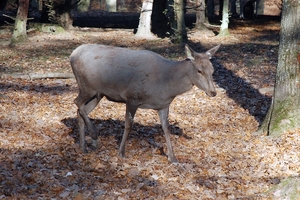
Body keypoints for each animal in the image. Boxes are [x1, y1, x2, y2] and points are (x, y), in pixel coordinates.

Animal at [70, 43, 220, 162]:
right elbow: (129, 125)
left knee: (80, 111)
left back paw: (83, 146)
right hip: (87, 86)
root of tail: (72, 54)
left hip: (98, 94)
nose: (213, 92)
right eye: (199, 70)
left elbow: (166, 128)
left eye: (212, 70)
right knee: (76, 102)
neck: (165, 84)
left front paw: (172, 157)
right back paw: (94, 136)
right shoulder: (132, 97)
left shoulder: (163, 105)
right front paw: (121, 153)